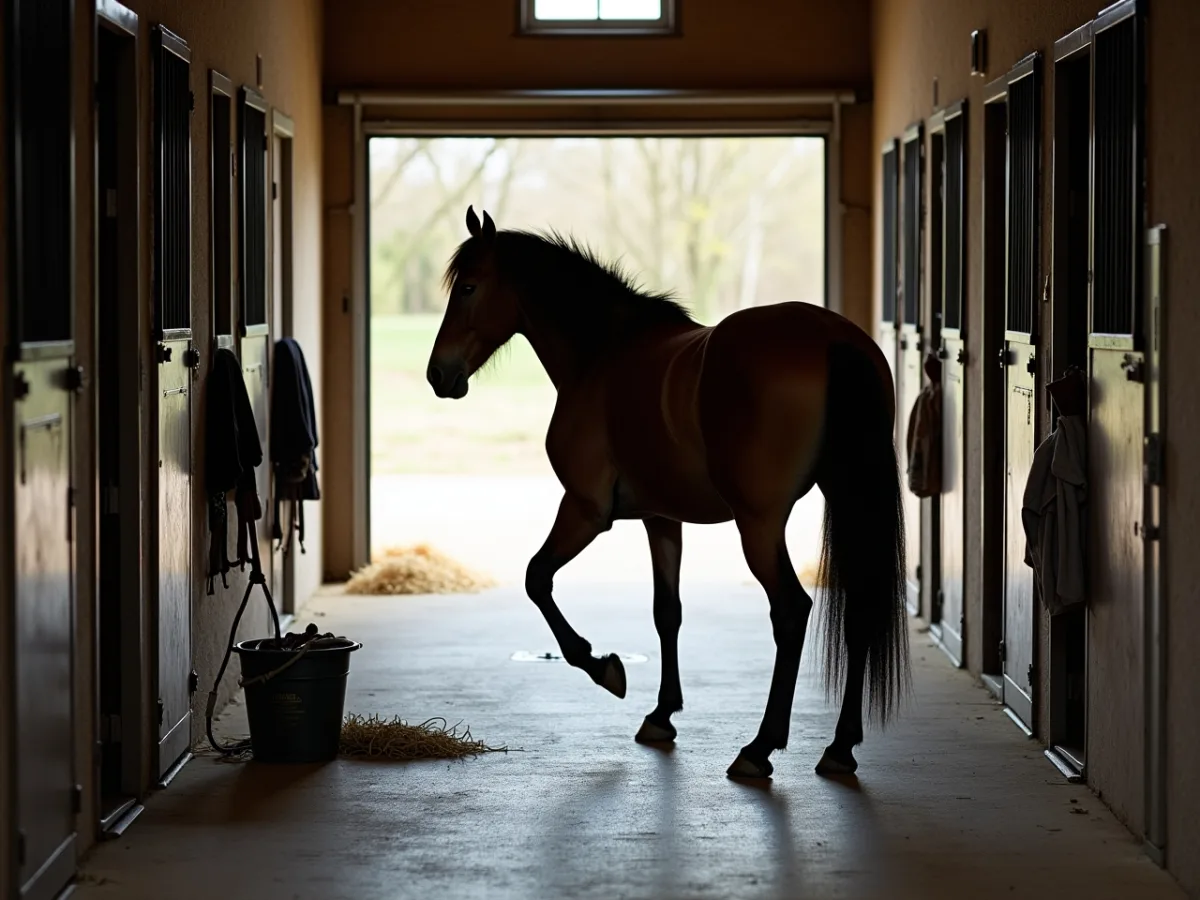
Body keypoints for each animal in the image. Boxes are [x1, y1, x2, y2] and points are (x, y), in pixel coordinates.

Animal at [426, 206, 910, 779]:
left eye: (469, 287)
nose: (438, 374)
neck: (604, 354)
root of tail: (833, 341)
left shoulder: (585, 510)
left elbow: (537, 579)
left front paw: (604, 668)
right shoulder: (662, 519)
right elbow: (667, 611)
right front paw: (662, 714)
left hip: (759, 524)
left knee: (791, 611)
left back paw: (759, 748)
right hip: (846, 499)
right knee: (859, 609)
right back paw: (839, 747)